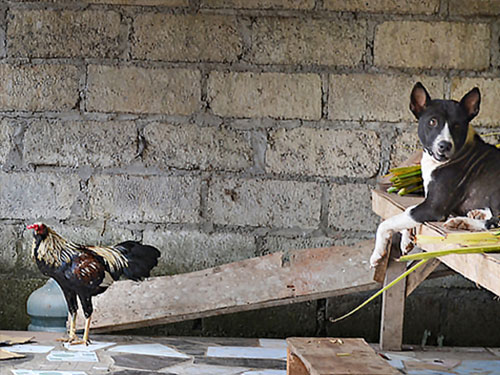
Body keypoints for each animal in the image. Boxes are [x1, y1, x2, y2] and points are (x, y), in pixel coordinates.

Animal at [370, 82, 500, 268]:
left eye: (457, 125)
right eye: (432, 122)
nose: (444, 145)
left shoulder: (433, 207)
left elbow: (391, 221)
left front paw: (378, 252)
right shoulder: (426, 203)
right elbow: (407, 211)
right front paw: (406, 239)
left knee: (496, 224)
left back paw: (464, 222)